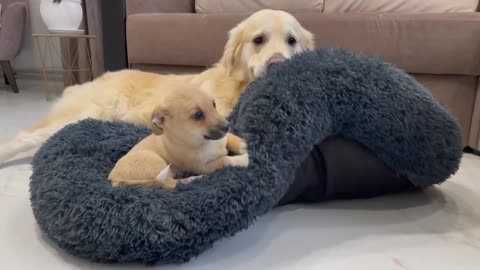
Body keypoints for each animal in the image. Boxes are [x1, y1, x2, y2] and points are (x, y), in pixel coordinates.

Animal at [108, 85, 248, 190]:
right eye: (197, 115)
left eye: (214, 104)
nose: (227, 126)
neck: (204, 142)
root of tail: (113, 178)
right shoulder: (202, 167)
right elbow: (226, 160)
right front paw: (244, 159)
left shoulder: (224, 138)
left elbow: (232, 140)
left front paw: (244, 145)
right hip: (154, 161)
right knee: (169, 184)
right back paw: (193, 179)